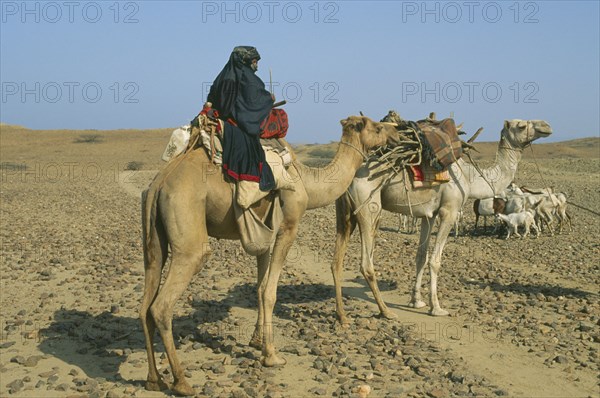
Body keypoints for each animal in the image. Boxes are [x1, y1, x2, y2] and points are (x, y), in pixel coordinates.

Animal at [137, 115, 398, 394]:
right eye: (378, 127)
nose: (397, 132)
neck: (306, 180)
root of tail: (159, 183)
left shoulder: (263, 232)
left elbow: (260, 287)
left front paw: (256, 340)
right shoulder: (289, 225)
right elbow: (270, 292)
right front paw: (271, 355)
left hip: (154, 240)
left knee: (145, 303)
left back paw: (154, 379)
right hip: (187, 227)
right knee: (163, 304)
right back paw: (182, 381)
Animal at [330, 117, 552, 324]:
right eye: (521, 126)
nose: (546, 126)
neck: (470, 177)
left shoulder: (429, 214)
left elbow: (421, 256)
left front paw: (416, 301)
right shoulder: (449, 210)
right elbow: (435, 261)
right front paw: (436, 307)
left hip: (344, 211)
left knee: (337, 260)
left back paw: (342, 314)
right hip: (368, 206)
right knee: (366, 262)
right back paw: (385, 311)